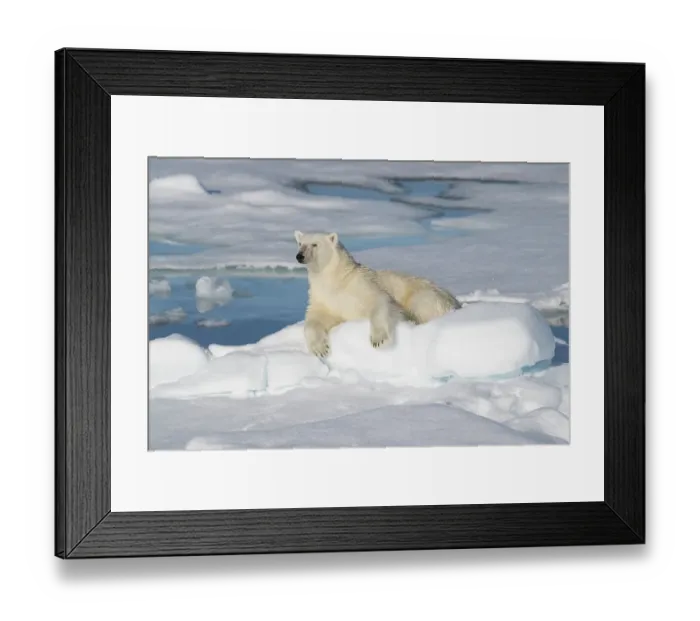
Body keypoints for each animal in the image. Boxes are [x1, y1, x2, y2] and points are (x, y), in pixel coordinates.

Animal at [294, 230, 462, 358]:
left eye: (315, 244)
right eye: (300, 243)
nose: (299, 256)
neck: (336, 280)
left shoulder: (361, 285)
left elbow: (380, 301)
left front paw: (378, 339)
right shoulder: (324, 298)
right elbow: (314, 319)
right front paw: (320, 349)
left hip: (428, 294)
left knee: (421, 303)